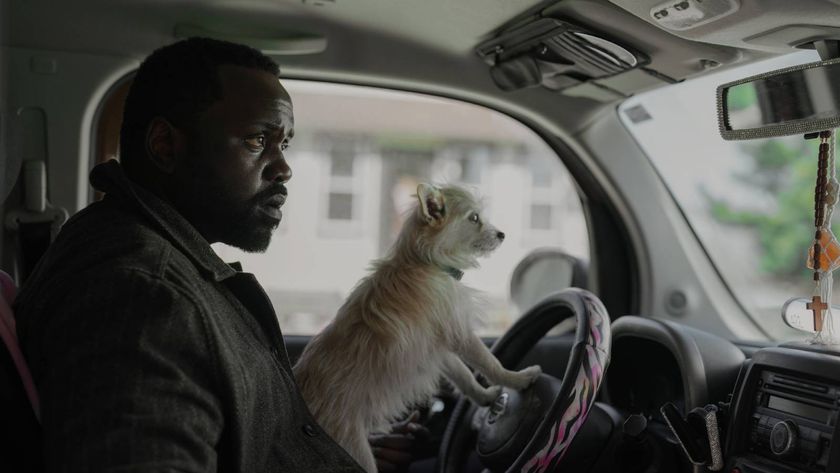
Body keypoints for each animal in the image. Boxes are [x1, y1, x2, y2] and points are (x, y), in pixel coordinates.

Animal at [296, 183, 540, 470]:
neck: (425, 262)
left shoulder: (438, 349)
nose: (502, 234)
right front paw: (518, 379)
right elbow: (489, 362)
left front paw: (484, 398)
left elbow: (464, 376)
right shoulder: (460, 334)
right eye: (474, 218)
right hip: (356, 450)